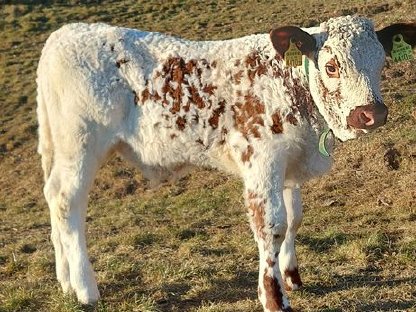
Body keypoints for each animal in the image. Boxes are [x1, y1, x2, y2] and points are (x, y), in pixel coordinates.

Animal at [36, 15, 416, 312]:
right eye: (331, 66)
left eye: (382, 62)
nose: (371, 114)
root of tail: (65, 33)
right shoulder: (262, 162)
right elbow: (272, 225)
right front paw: (274, 297)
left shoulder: (289, 164)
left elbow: (294, 218)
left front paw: (292, 276)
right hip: (81, 145)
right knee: (67, 203)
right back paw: (86, 289)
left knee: (52, 198)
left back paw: (65, 281)